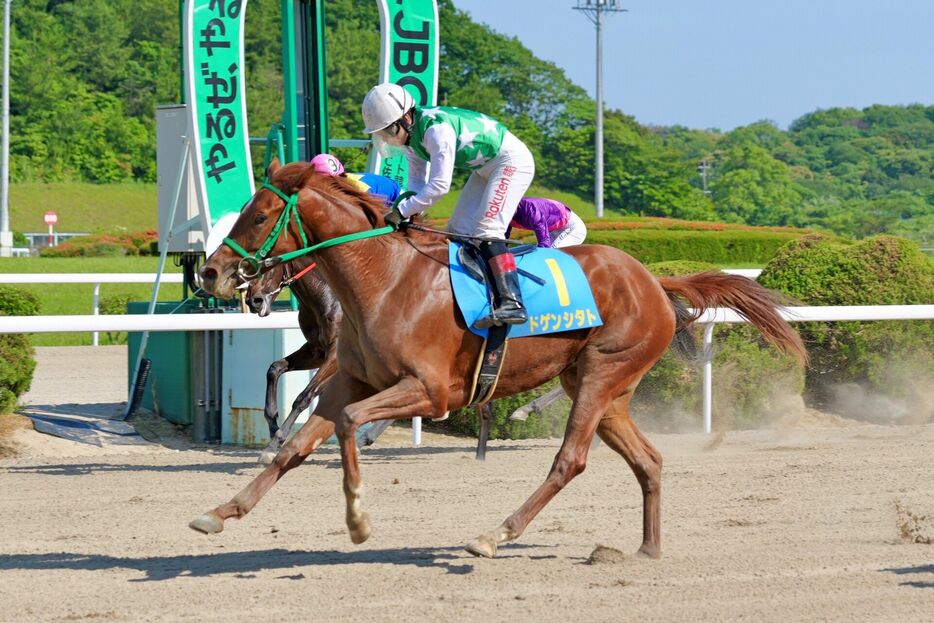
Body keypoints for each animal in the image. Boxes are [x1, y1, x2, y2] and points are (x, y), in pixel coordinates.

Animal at [194, 162, 808, 560]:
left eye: (260, 215)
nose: (210, 272)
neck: (384, 280)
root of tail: (655, 281)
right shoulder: (350, 378)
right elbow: (295, 447)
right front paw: (220, 512)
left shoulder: (432, 391)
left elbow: (346, 425)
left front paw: (358, 519)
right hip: (606, 388)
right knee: (648, 460)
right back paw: (646, 549)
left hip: (603, 372)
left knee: (570, 460)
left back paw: (497, 532)